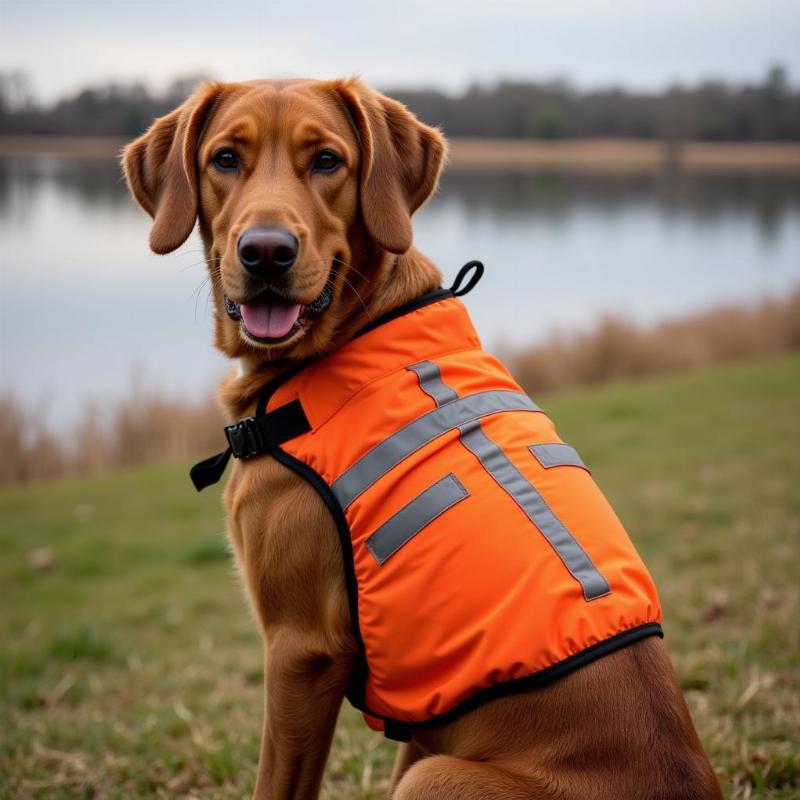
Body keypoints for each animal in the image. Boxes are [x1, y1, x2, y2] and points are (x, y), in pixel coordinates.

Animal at [120, 76, 724, 800]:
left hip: (433, 776)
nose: (266, 251)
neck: (359, 332)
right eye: (225, 159)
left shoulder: (300, 647)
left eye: (327, 161)